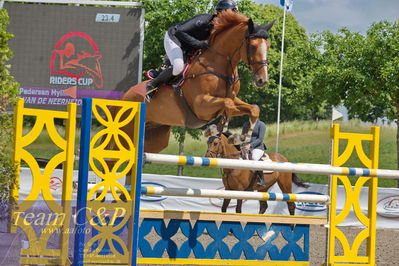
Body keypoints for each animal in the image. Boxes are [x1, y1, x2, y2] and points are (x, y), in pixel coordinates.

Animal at [118, 10, 276, 153]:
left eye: (268, 46)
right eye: (253, 46)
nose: (262, 80)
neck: (220, 65)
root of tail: (125, 95)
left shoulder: (231, 98)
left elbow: (253, 109)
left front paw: (241, 137)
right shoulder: (201, 105)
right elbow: (228, 105)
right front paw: (217, 130)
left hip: (155, 136)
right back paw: (150, 88)